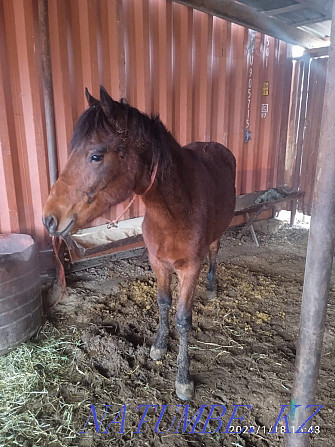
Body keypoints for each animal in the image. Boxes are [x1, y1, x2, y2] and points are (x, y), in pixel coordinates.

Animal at [43, 86, 236, 400]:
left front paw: (183, 379)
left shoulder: (190, 268)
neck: (175, 211)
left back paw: (211, 287)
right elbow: (163, 302)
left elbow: (183, 318)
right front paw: (159, 346)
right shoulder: (158, 262)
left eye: (96, 156)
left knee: (214, 253)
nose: (49, 219)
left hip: (217, 236)